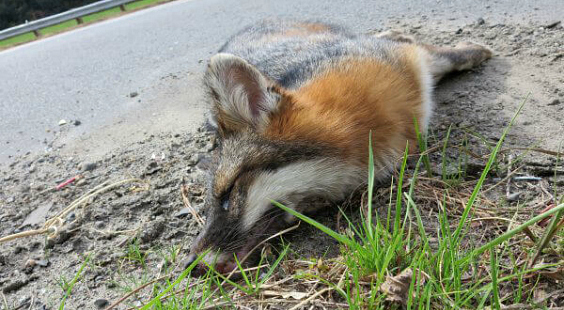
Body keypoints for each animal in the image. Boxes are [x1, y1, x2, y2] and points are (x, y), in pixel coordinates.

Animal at [184, 18, 490, 274]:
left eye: (227, 196)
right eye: (208, 207)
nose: (189, 266)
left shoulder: (409, 62)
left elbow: (445, 55)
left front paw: (473, 50)